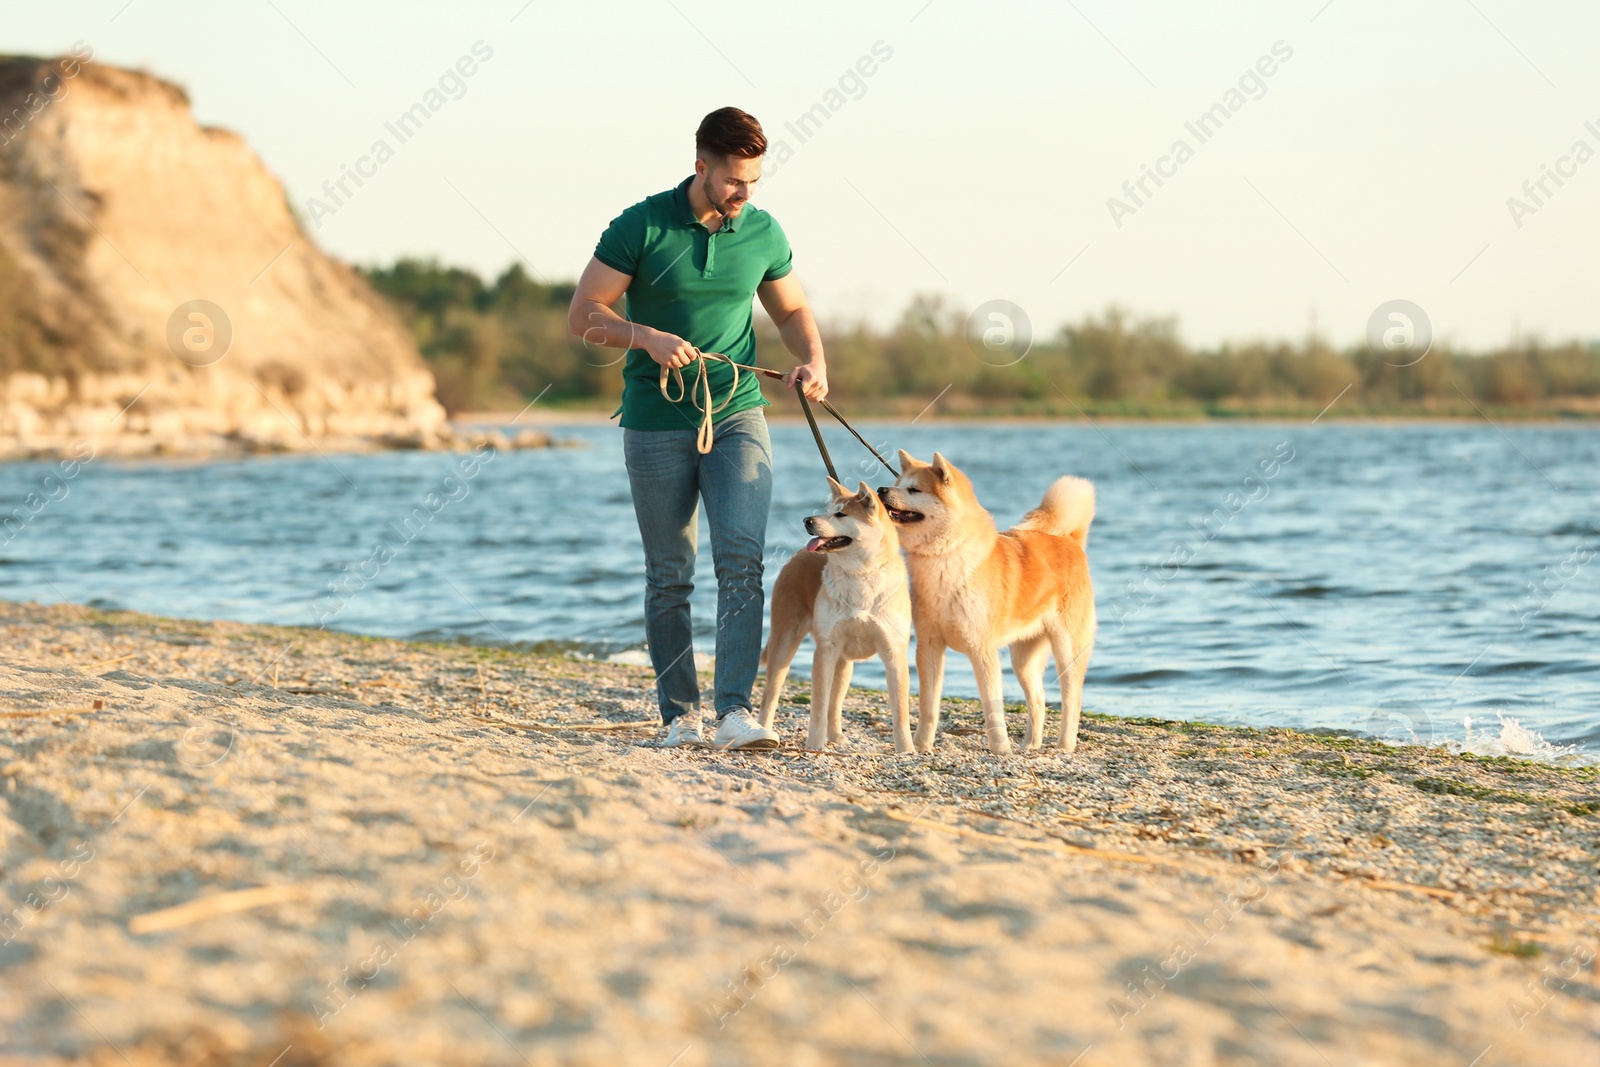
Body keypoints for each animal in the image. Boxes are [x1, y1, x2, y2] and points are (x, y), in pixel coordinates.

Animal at [758, 476, 915, 751]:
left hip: (844, 663)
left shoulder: (894, 652)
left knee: (836, 703)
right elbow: (818, 705)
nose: (807, 520)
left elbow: (900, 711)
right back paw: (764, 731)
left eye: (841, 514)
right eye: (827, 509)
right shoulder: (826, 650)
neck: (861, 575)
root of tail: (797, 554)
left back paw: (836, 736)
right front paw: (814, 743)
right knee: (770, 696)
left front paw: (907, 749)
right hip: (784, 645)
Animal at [883, 454, 1094, 755]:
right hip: (1023, 659)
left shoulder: (982, 650)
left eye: (913, 490)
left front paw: (1001, 749)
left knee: (1071, 701)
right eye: (898, 483)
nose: (881, 490)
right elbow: (928, 707)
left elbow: (992, 709)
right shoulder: (930, 646)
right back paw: (1029, 745)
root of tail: (1069, 540)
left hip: (1067, 650)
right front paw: (922, 745)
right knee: (1038, 700)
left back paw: (1064, 746)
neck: (944, 559)